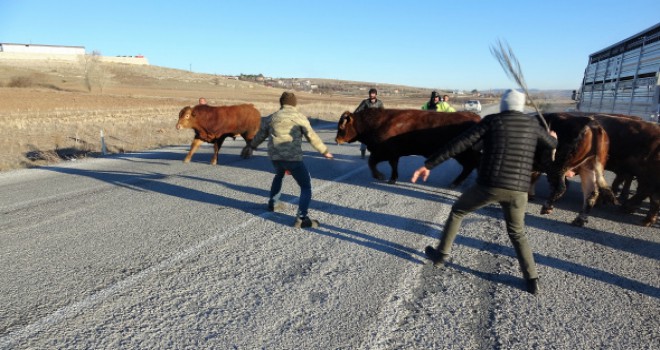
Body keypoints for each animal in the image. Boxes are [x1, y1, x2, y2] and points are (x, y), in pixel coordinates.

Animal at [336, 108, 480, 186]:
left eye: (341, 126)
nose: (336, 139)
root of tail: (476, 117)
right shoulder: (393, 155)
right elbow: (393, 166)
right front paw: (392, 179)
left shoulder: (382, 152)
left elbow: (371, 162)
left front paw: (380, 176)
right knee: (470, 167)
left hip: (464, 155)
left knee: (470, 166)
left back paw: (455, 183)